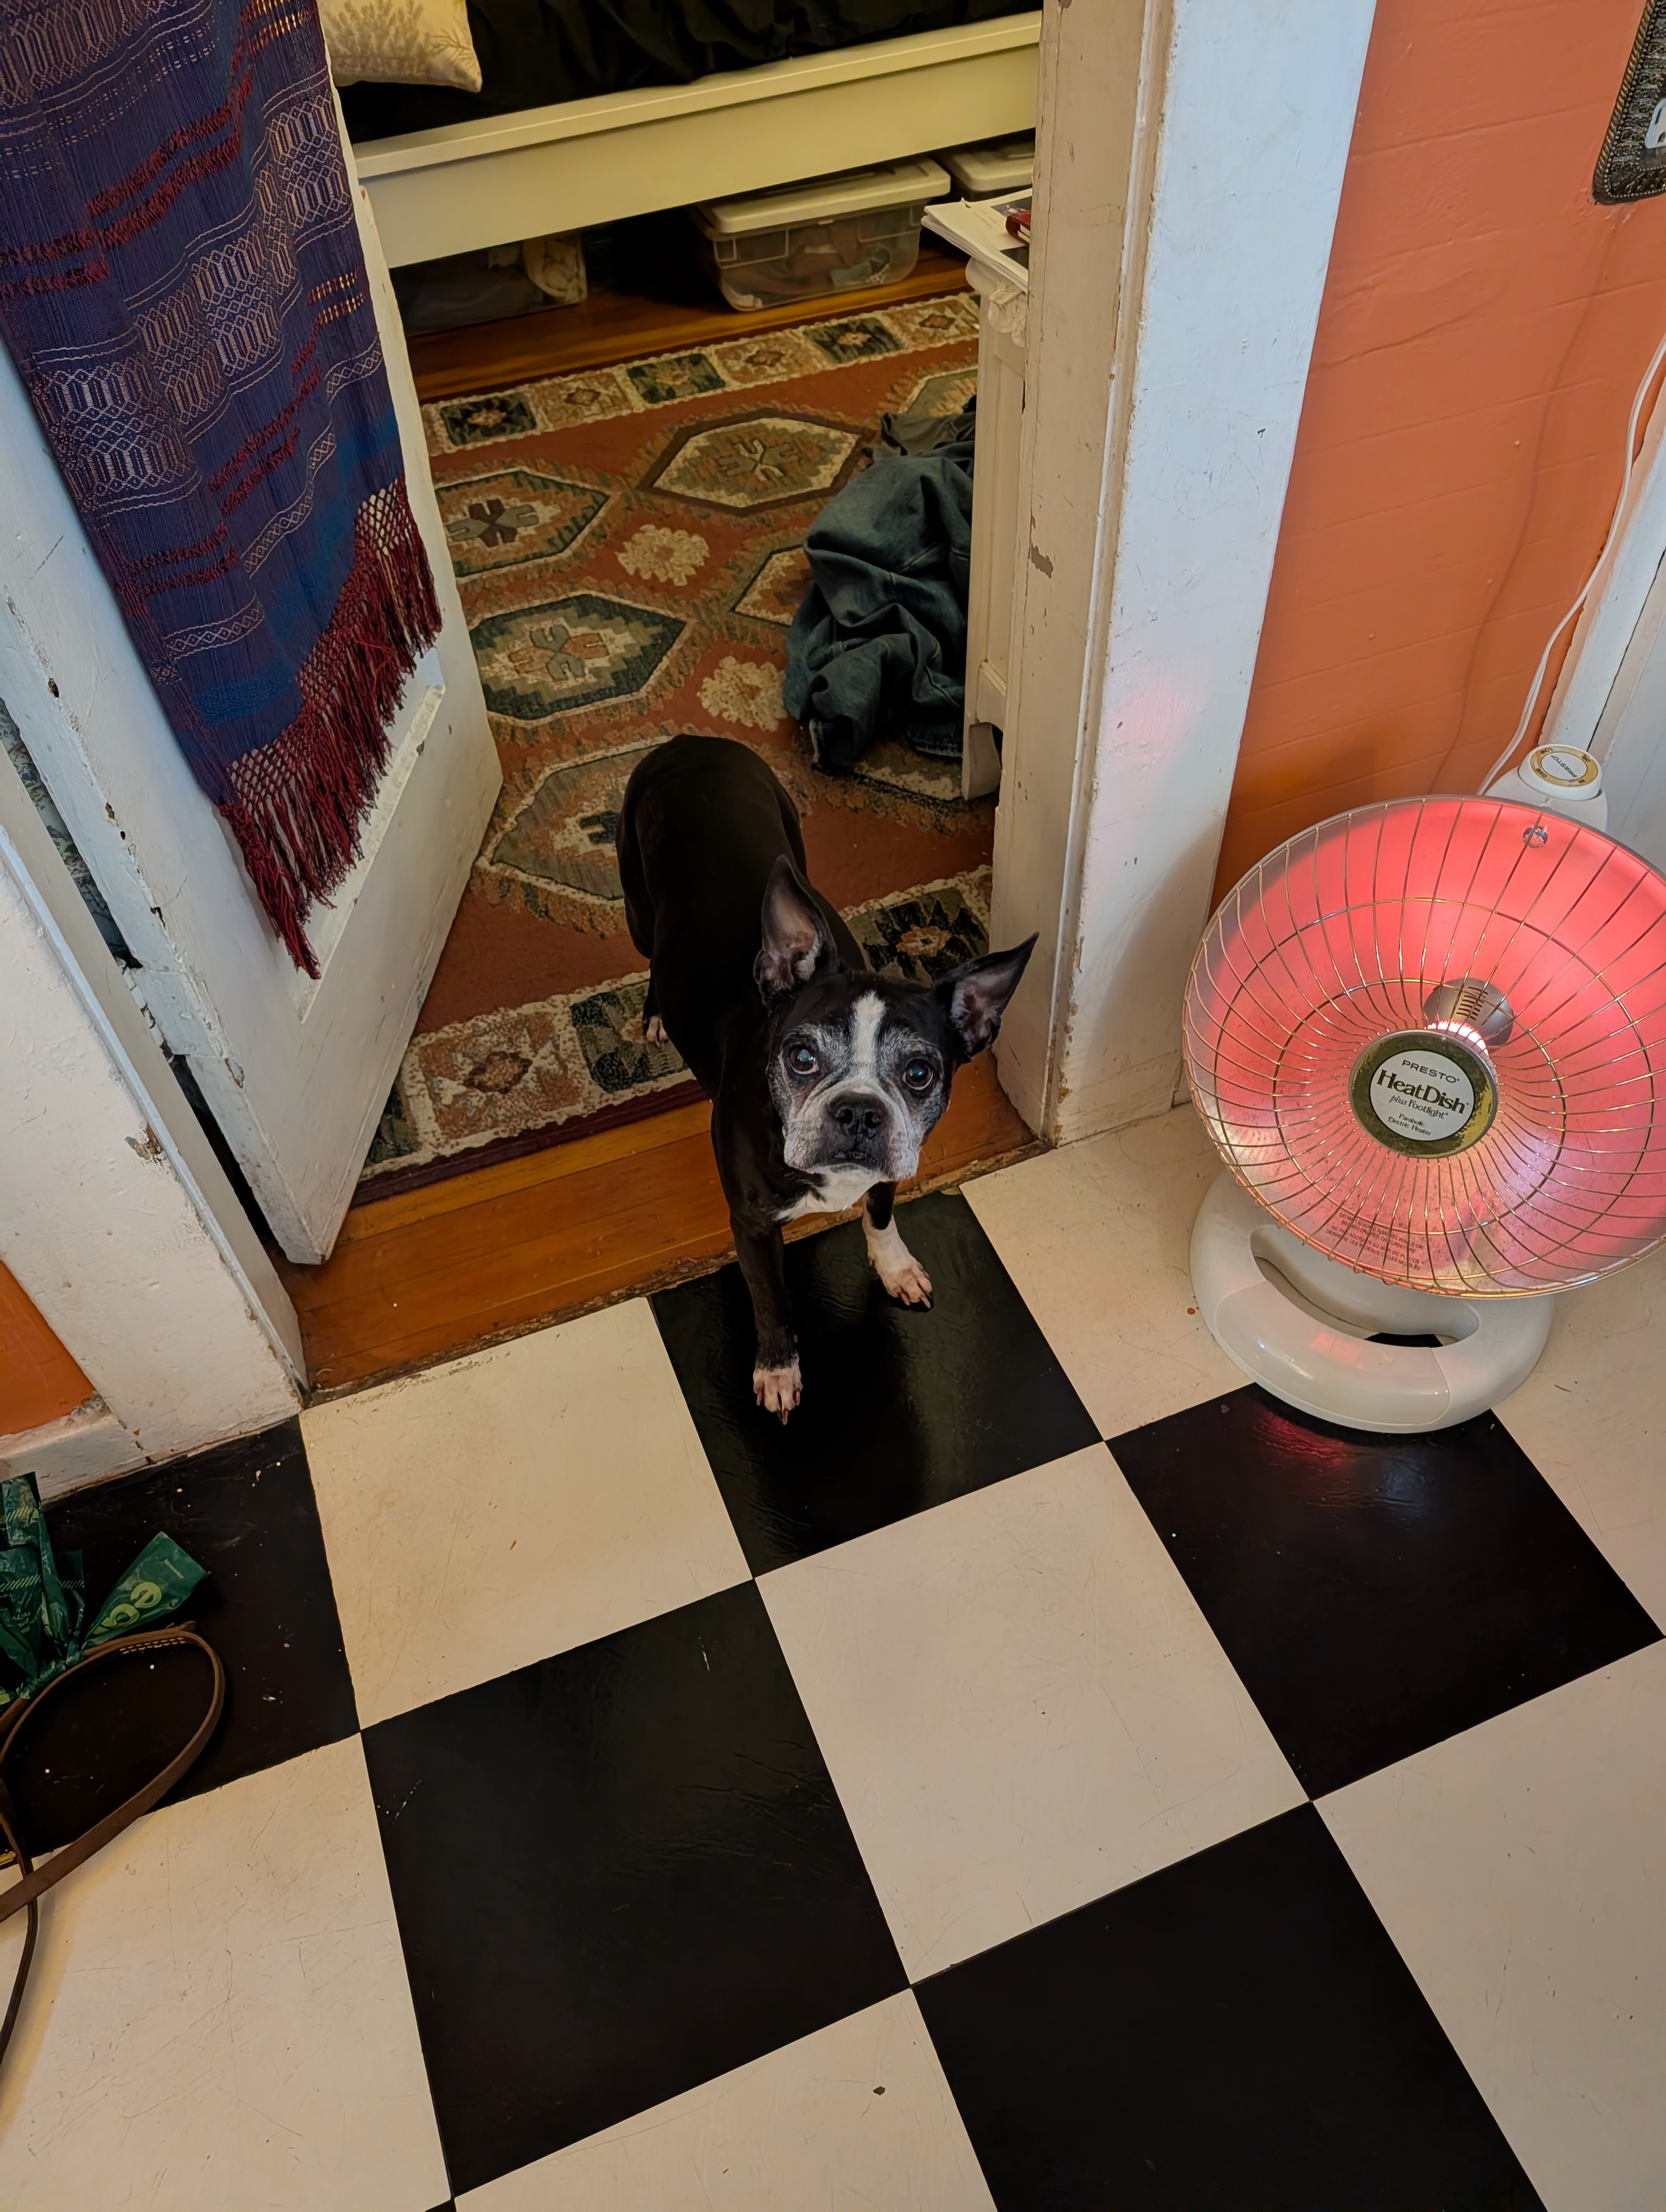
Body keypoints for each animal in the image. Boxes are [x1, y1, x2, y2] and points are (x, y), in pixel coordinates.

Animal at [618, 734, 1035, 1418]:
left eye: (920, 1073)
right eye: (802, 1058)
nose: (860, 1110)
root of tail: (690, 740)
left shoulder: (893, 1165)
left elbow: (881, 1215)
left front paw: (895, 1268)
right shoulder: (752, 1226)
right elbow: (771, 1301)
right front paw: (778, 1370)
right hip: (636, 905)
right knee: (650, 954)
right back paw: (653, 1015)